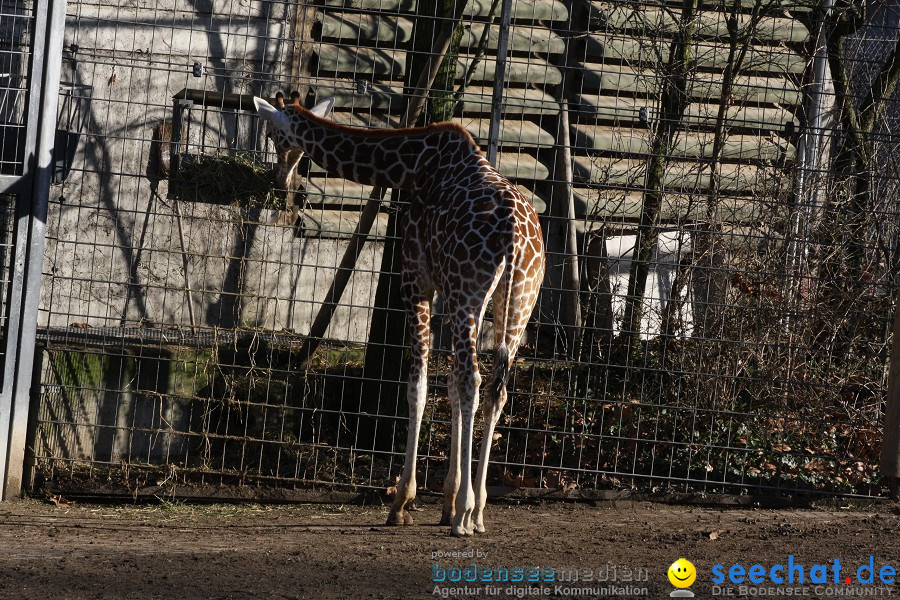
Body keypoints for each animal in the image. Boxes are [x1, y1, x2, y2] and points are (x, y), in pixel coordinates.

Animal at [256, 96, 544, 536]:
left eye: (272, 133)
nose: (278, 179)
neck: (413, 166)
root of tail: (516, 239)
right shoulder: (445, 287)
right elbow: (448, 387)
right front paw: (446, 502)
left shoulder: (416, 278)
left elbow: (419, 385)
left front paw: (404, 502)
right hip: (517, 303)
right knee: (495, 388)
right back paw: (477, 512)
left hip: (470, 294)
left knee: (474, 381)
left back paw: (465, 514)